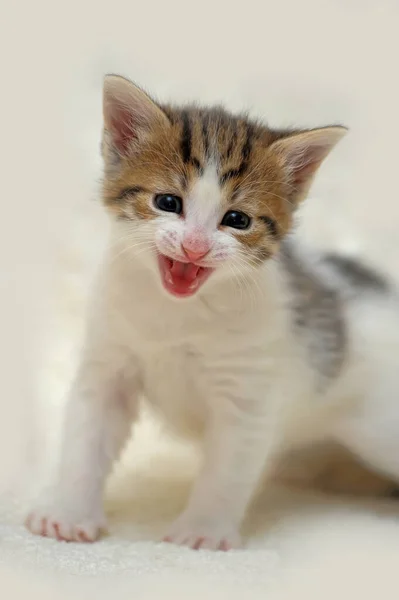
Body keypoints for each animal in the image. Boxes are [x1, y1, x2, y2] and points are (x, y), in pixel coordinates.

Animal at [25, 77, 399, 552]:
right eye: (168, 201)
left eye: (236, 219)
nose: (195, 246)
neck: (177, 313)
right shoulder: (108, 365)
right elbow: (85, 440)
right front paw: (67, 513)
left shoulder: (248, 394)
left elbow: (227, 470)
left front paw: (203, 529)